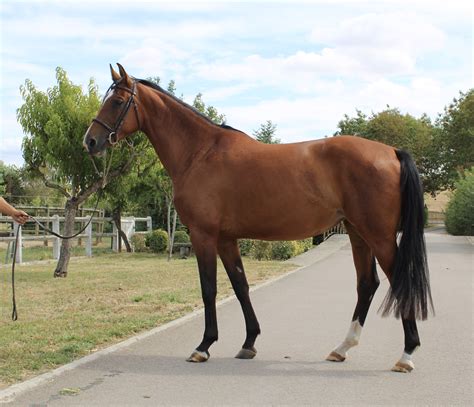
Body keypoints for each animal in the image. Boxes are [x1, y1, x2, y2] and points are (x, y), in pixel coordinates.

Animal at [83, 63, 432, 372]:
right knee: (366, 284)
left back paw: (406, 355)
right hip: (358, 233)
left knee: (395, 281)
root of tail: (391, 152)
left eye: (117, 102)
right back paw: (342, 348)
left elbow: (209, 289)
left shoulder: (203, 235)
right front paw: (249, 343)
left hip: (378, 236)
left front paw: (203, 347)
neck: (200, 152)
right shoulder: (226, 239)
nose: (90, 141)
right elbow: (240, 286)